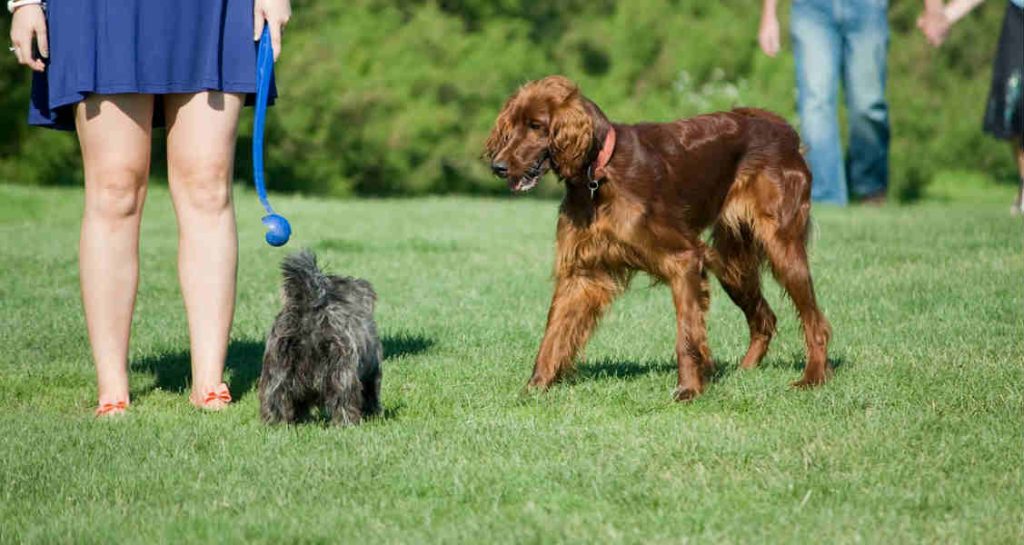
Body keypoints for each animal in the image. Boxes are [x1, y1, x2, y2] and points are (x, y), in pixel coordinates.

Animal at [258, 250, 382, 426]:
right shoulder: (372, 371)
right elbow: (372, 394)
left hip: (276, 370)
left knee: (274, 397)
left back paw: (276, 423)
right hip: (342, 373)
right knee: (343, 400)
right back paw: (347, 423)